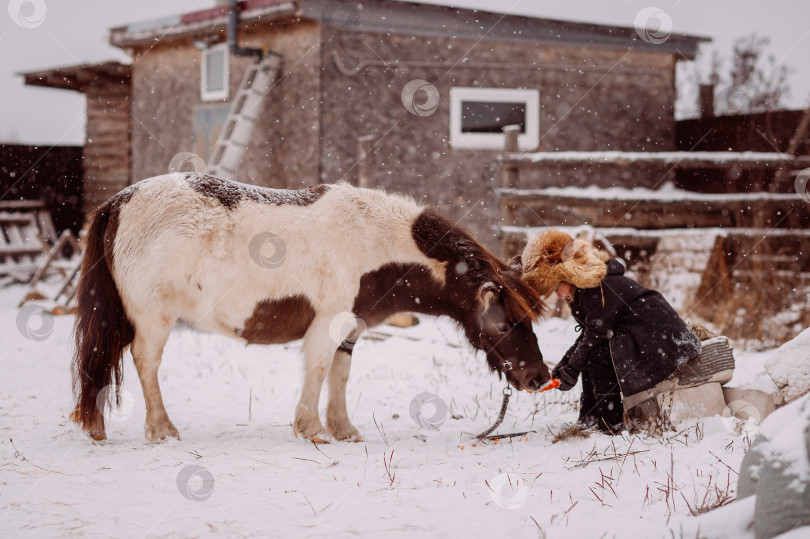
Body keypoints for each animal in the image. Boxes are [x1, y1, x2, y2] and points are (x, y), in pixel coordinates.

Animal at [71, 174, 548, 442]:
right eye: (506, 324)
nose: (538, 377)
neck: (374, 244)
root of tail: (118, 201)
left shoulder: (351, 328)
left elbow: (340, 375)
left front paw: (344, 430)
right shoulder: (327, 324)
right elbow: (317, 372)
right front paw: (312, 429)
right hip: (153, 319)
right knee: (145, 362)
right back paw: (162, 430)